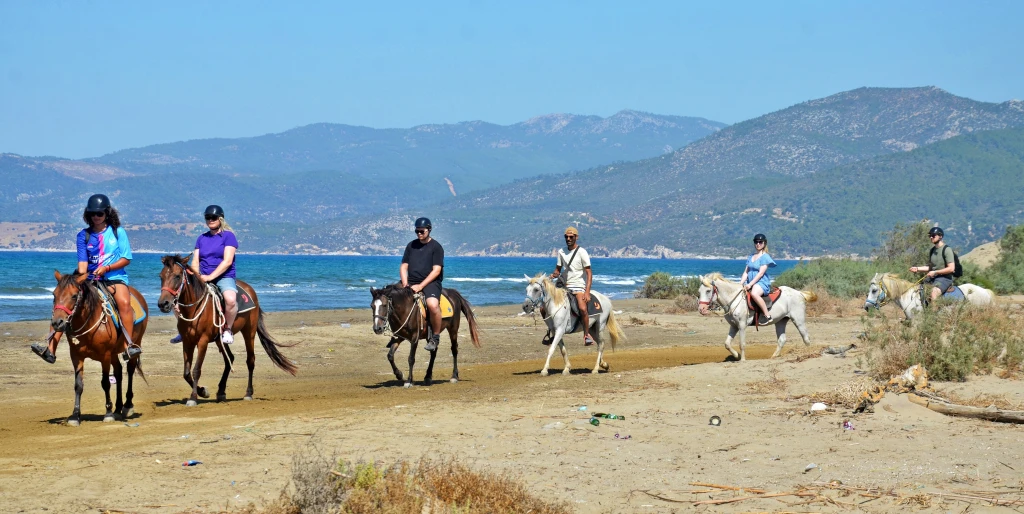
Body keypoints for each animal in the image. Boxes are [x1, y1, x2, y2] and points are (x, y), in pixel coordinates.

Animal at [49, 271, 148, 426]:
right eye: (54, 294)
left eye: (74, 295)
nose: (57, 322)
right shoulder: (76, 356)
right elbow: (78, 385)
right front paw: (75, 415)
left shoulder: (105, 356)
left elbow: (106, 383)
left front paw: (108, 413)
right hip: (114, 352)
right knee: (118, 372)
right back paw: (118, 408)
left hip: (135, 343)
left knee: (130, 370)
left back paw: (127, 406)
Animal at [157, 255, 297, 406]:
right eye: (161, 276)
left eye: (177, 276)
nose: (163, 304)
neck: (194, 309)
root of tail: (250, 290)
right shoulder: (187, 341)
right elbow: (186, 373)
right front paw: (202, 391)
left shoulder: (203, 341)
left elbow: (196, 370)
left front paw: (193, 397)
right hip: (220, 339)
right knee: (230, 358)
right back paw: (221, 391)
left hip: (249, 332)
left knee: (250, 360)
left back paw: (248, 393)